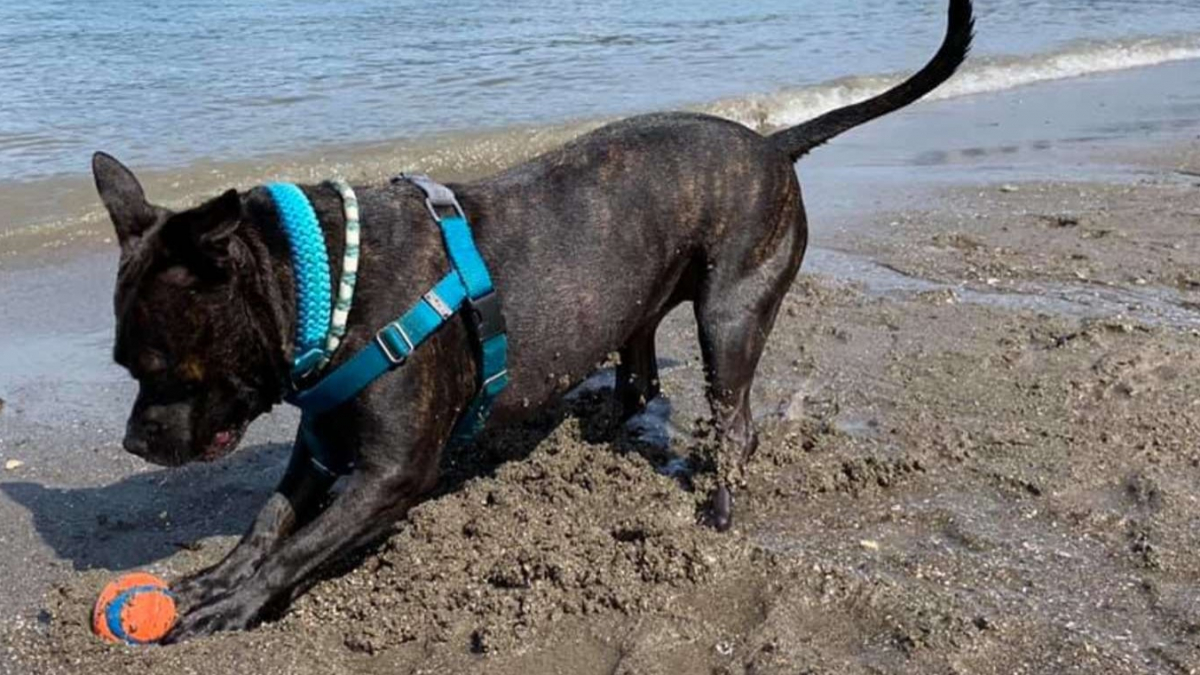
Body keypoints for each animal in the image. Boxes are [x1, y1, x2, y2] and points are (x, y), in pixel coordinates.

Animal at [93, 0, 974, 638]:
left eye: (160, 367)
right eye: (125, 368)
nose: (133, 441)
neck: (323, 284)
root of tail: (770, 144)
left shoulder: (388, 475)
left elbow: (300, 545)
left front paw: (235, 606)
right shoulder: (320, 441)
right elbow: (270, 519)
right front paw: (218, 576)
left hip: (731, 315)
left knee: (735, 421)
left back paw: (719, 506)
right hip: (643, 300)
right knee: (641, 370)